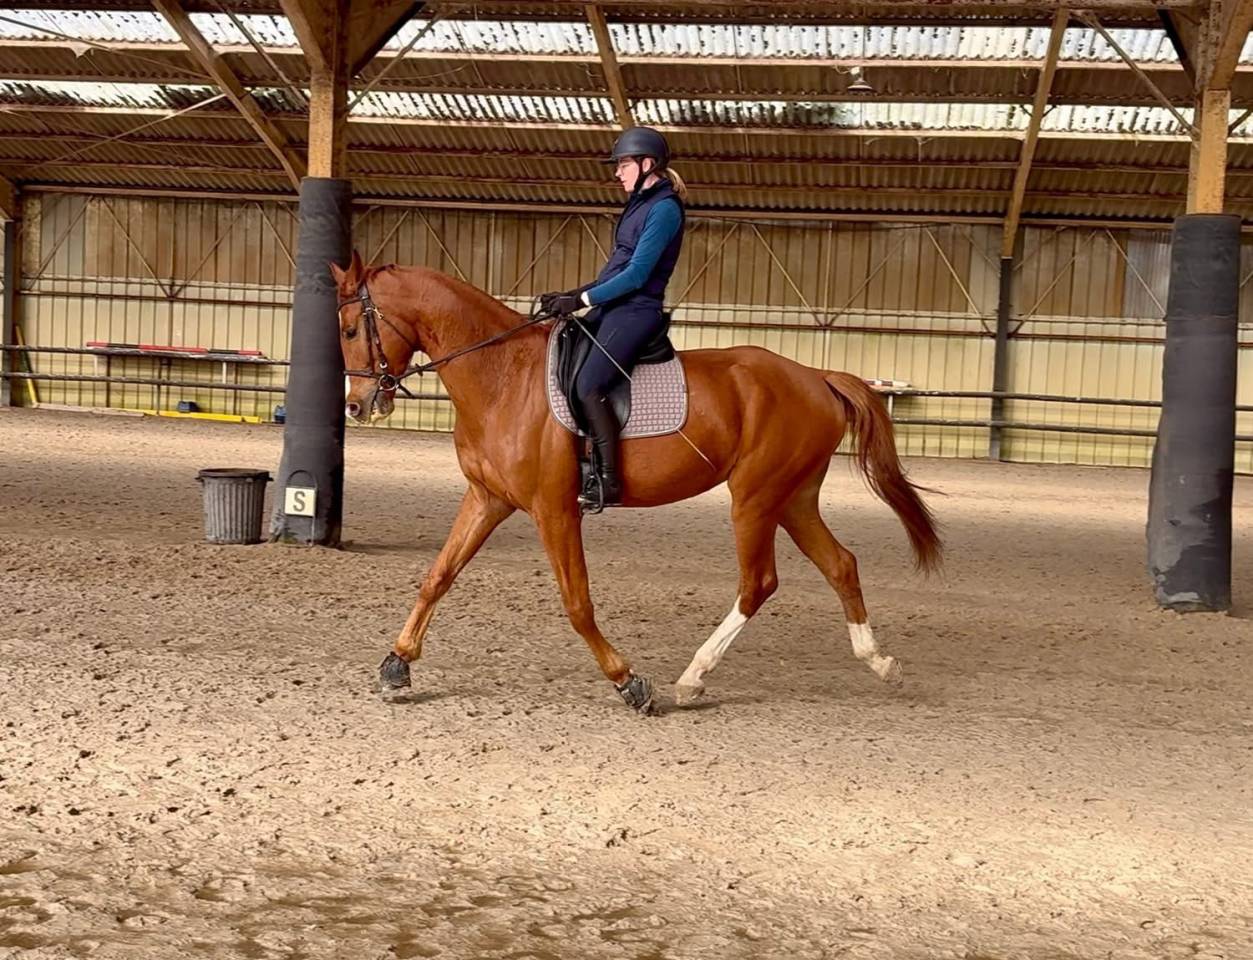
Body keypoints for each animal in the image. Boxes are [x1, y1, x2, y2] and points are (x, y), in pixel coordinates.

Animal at [332, 252, 941, 714]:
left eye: (350, 328)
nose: (357, 405)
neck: (504, 376)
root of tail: (815, 376)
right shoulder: (488, 499)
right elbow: (438, 576)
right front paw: (396, 666)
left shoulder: (555, 510)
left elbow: (578, 603)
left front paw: (630, 683)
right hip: (793, 498)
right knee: (840, 564)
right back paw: (880, 663)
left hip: (755, 498)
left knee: (759, 583)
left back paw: (693, 678)